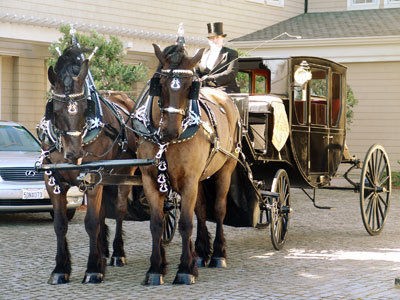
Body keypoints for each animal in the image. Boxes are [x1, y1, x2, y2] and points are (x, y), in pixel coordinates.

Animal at [39, 47, 136, 284]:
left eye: (85, 108)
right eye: (55, 110)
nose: (74, 154)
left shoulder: (92, 179)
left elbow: (91, 222)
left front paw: (93, 269)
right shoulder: (52, 181)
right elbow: (60, 225)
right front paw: (60, 269)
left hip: (125, 174)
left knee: (119, 210)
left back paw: (117, 254)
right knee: (103, 214)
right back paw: (104, 251)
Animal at [137, 43, 241, 284]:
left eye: (189, 86)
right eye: (161, 84)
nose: (171, 130)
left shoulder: (189, 181)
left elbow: (185, 223)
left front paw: (185, 269)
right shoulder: (150, 180)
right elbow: (156, 224)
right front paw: (155, 269)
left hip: (225, 169)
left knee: (218, 209)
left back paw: (218, 254)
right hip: (201, 178)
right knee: (201, 211)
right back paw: (202, 253)